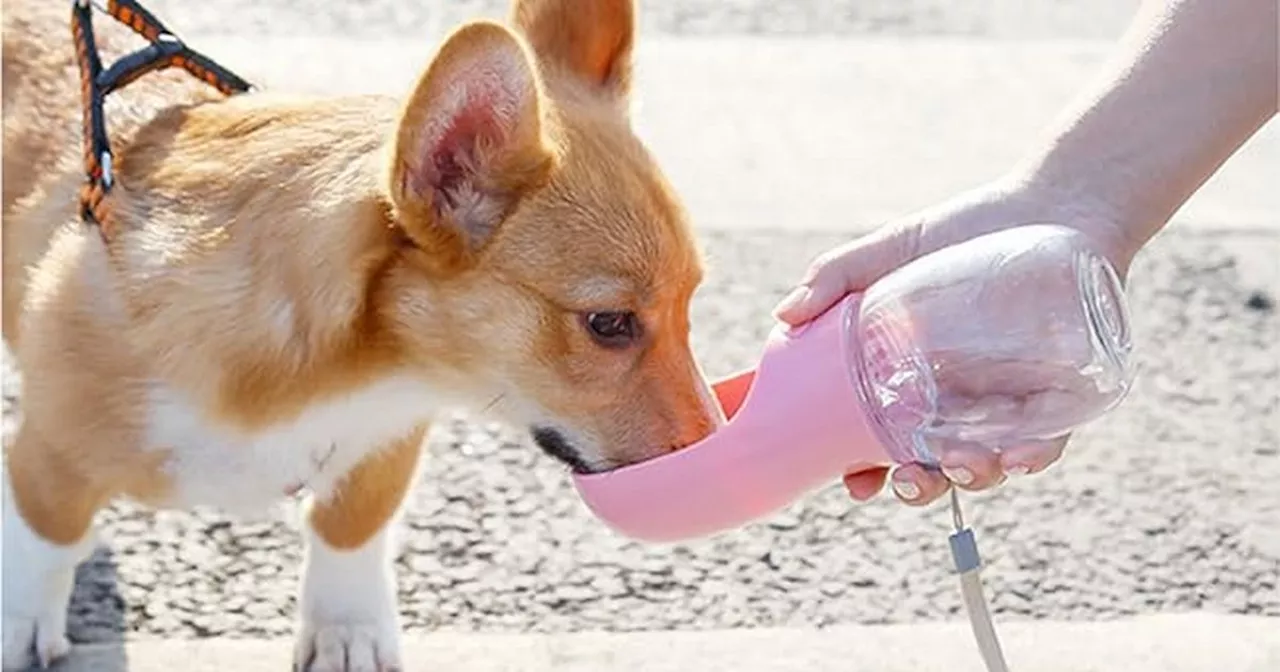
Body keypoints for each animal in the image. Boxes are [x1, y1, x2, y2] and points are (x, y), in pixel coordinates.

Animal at [0, 0, 727, 665]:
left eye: (692, 302)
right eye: (609, 324)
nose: (720, 464)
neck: (360, 373)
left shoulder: (386, 439)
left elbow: (351, 526)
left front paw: (346, 630)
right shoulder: (51, 452)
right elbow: (46, 538)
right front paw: (22, 623)